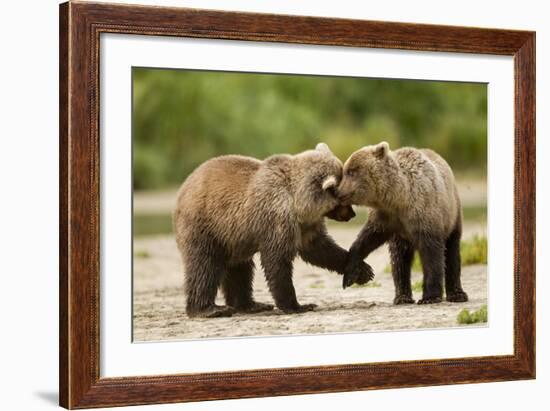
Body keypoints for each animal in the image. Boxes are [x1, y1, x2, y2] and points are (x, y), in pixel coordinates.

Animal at [176, 144, 376, 318]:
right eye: (343, 198)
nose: (351, 214)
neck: (298, 203)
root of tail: (184, 187)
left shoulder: (306, 226)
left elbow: (320, 249)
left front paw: (362, 270)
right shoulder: (276, 218)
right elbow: (277, 260)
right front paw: (298, 306)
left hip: (234, 237)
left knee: (240, 269)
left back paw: (251, 305)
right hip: (206, 226)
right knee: (204, 265)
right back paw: (210, 309)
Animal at [340, 142, 470, 306]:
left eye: (351, 172)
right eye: (345, 170)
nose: (337, 191)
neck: (399, 198)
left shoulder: (424, 214)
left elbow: (432, 255)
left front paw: (430, 297)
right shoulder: (387, 218)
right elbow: (367, 239)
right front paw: (350, 274)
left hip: (452, 215)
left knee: (452, 251)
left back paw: (457, 294)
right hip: (402, 237)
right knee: (400, 260)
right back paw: (402, 297)